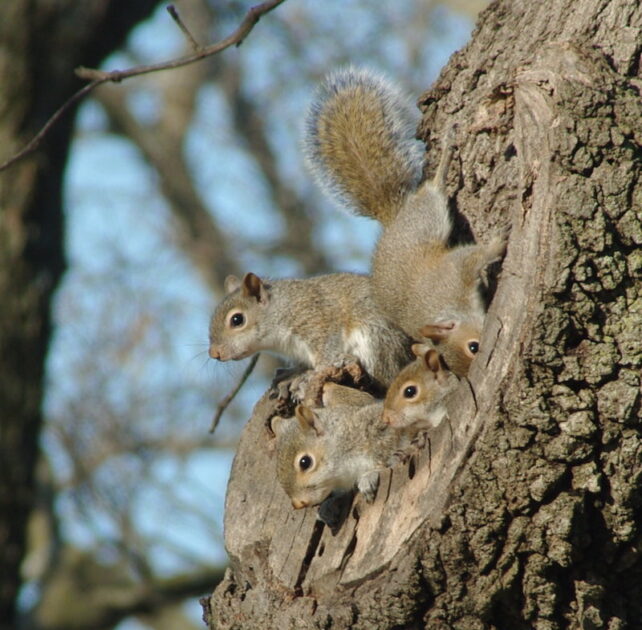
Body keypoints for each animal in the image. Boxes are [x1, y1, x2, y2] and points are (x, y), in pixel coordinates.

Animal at [208, 271, 412, 391]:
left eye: (237, 320)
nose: (214, 353)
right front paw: (293, 373)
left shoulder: (315, 320)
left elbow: (327, 348)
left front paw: (314, 373)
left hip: (375, 337)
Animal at [305, 67, 507, 376]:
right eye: (473, 347)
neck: (445, 307)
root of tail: (394, 216)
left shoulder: (454, 272)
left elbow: (472, 256)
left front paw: (497, 244)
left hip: (425, 217)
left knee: (432, 189)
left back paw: (446, 156)